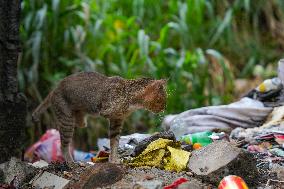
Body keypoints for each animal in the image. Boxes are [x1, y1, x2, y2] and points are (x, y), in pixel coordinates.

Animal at [32, 71, 168, 163]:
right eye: (162, 99)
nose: (164, 108)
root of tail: (54, 89)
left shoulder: (117, 120)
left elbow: (114, 142)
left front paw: (113, 160)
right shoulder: (108, 112)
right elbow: (113, 139)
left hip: (77, 120)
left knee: (78, 124)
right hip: (66, 120)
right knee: (63, 144)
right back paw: (70, 162)